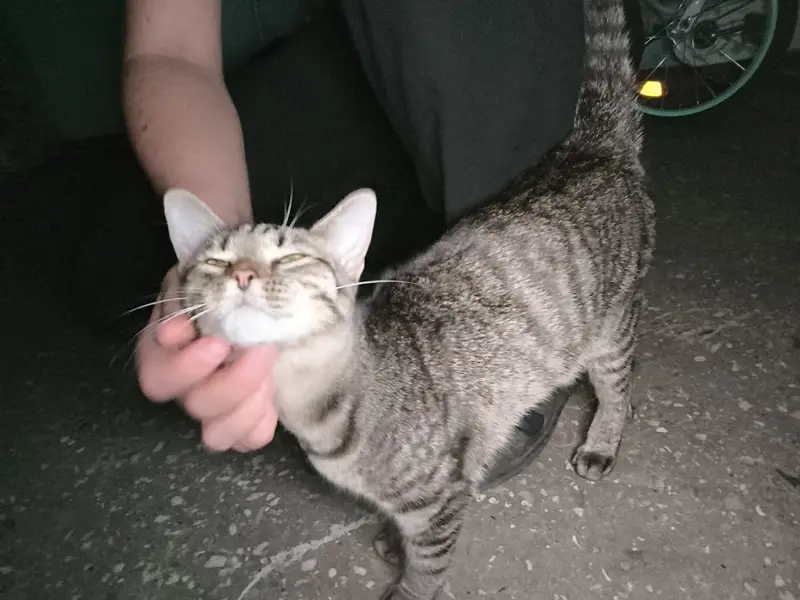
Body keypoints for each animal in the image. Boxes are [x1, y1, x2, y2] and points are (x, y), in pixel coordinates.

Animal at [161, 0, 654, 597]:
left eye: (292, 258)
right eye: (215, 261)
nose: (244, 275)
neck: (318, 409)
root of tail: (588, 150)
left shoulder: (440, 499)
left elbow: (427, 568)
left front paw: (409, 580)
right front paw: (393, 542)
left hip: (612, 329)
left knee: (618, 388)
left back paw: (604, 436)